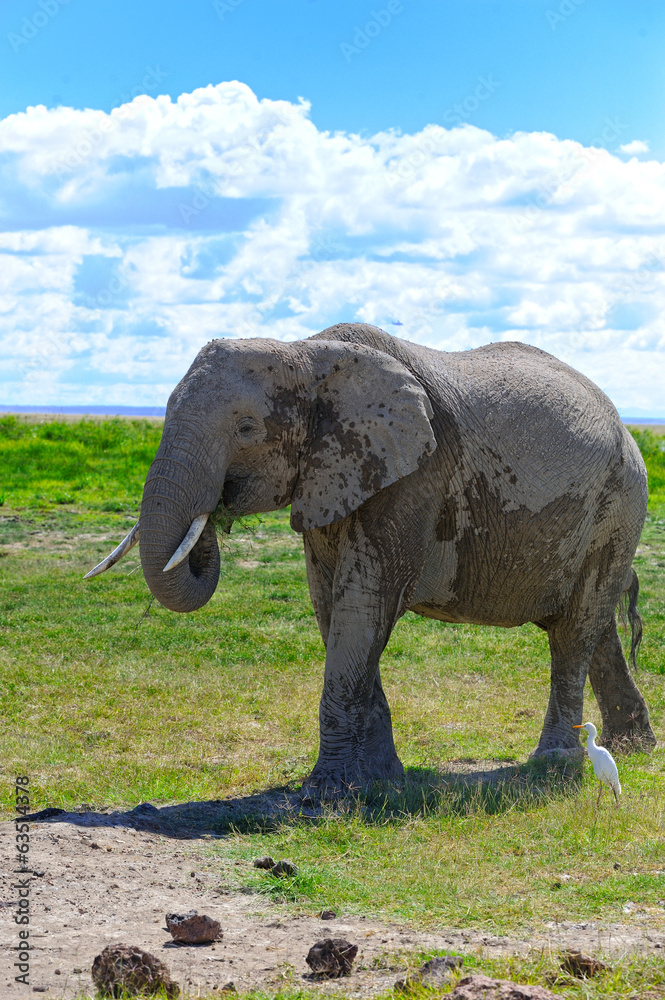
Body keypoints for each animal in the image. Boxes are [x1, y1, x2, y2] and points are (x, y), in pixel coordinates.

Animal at [86, 322, 655, 791]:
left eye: (246, 428)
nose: (216, 510)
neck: (306, 352)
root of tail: (625, 426)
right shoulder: (334, 474)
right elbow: (331, 608)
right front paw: (382, 778)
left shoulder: (414, 474)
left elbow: (363, 605)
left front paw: (326, 795)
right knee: (595, 626)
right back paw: (634, 748)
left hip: (619, 502)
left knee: (574, 630)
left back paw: (555, 764)